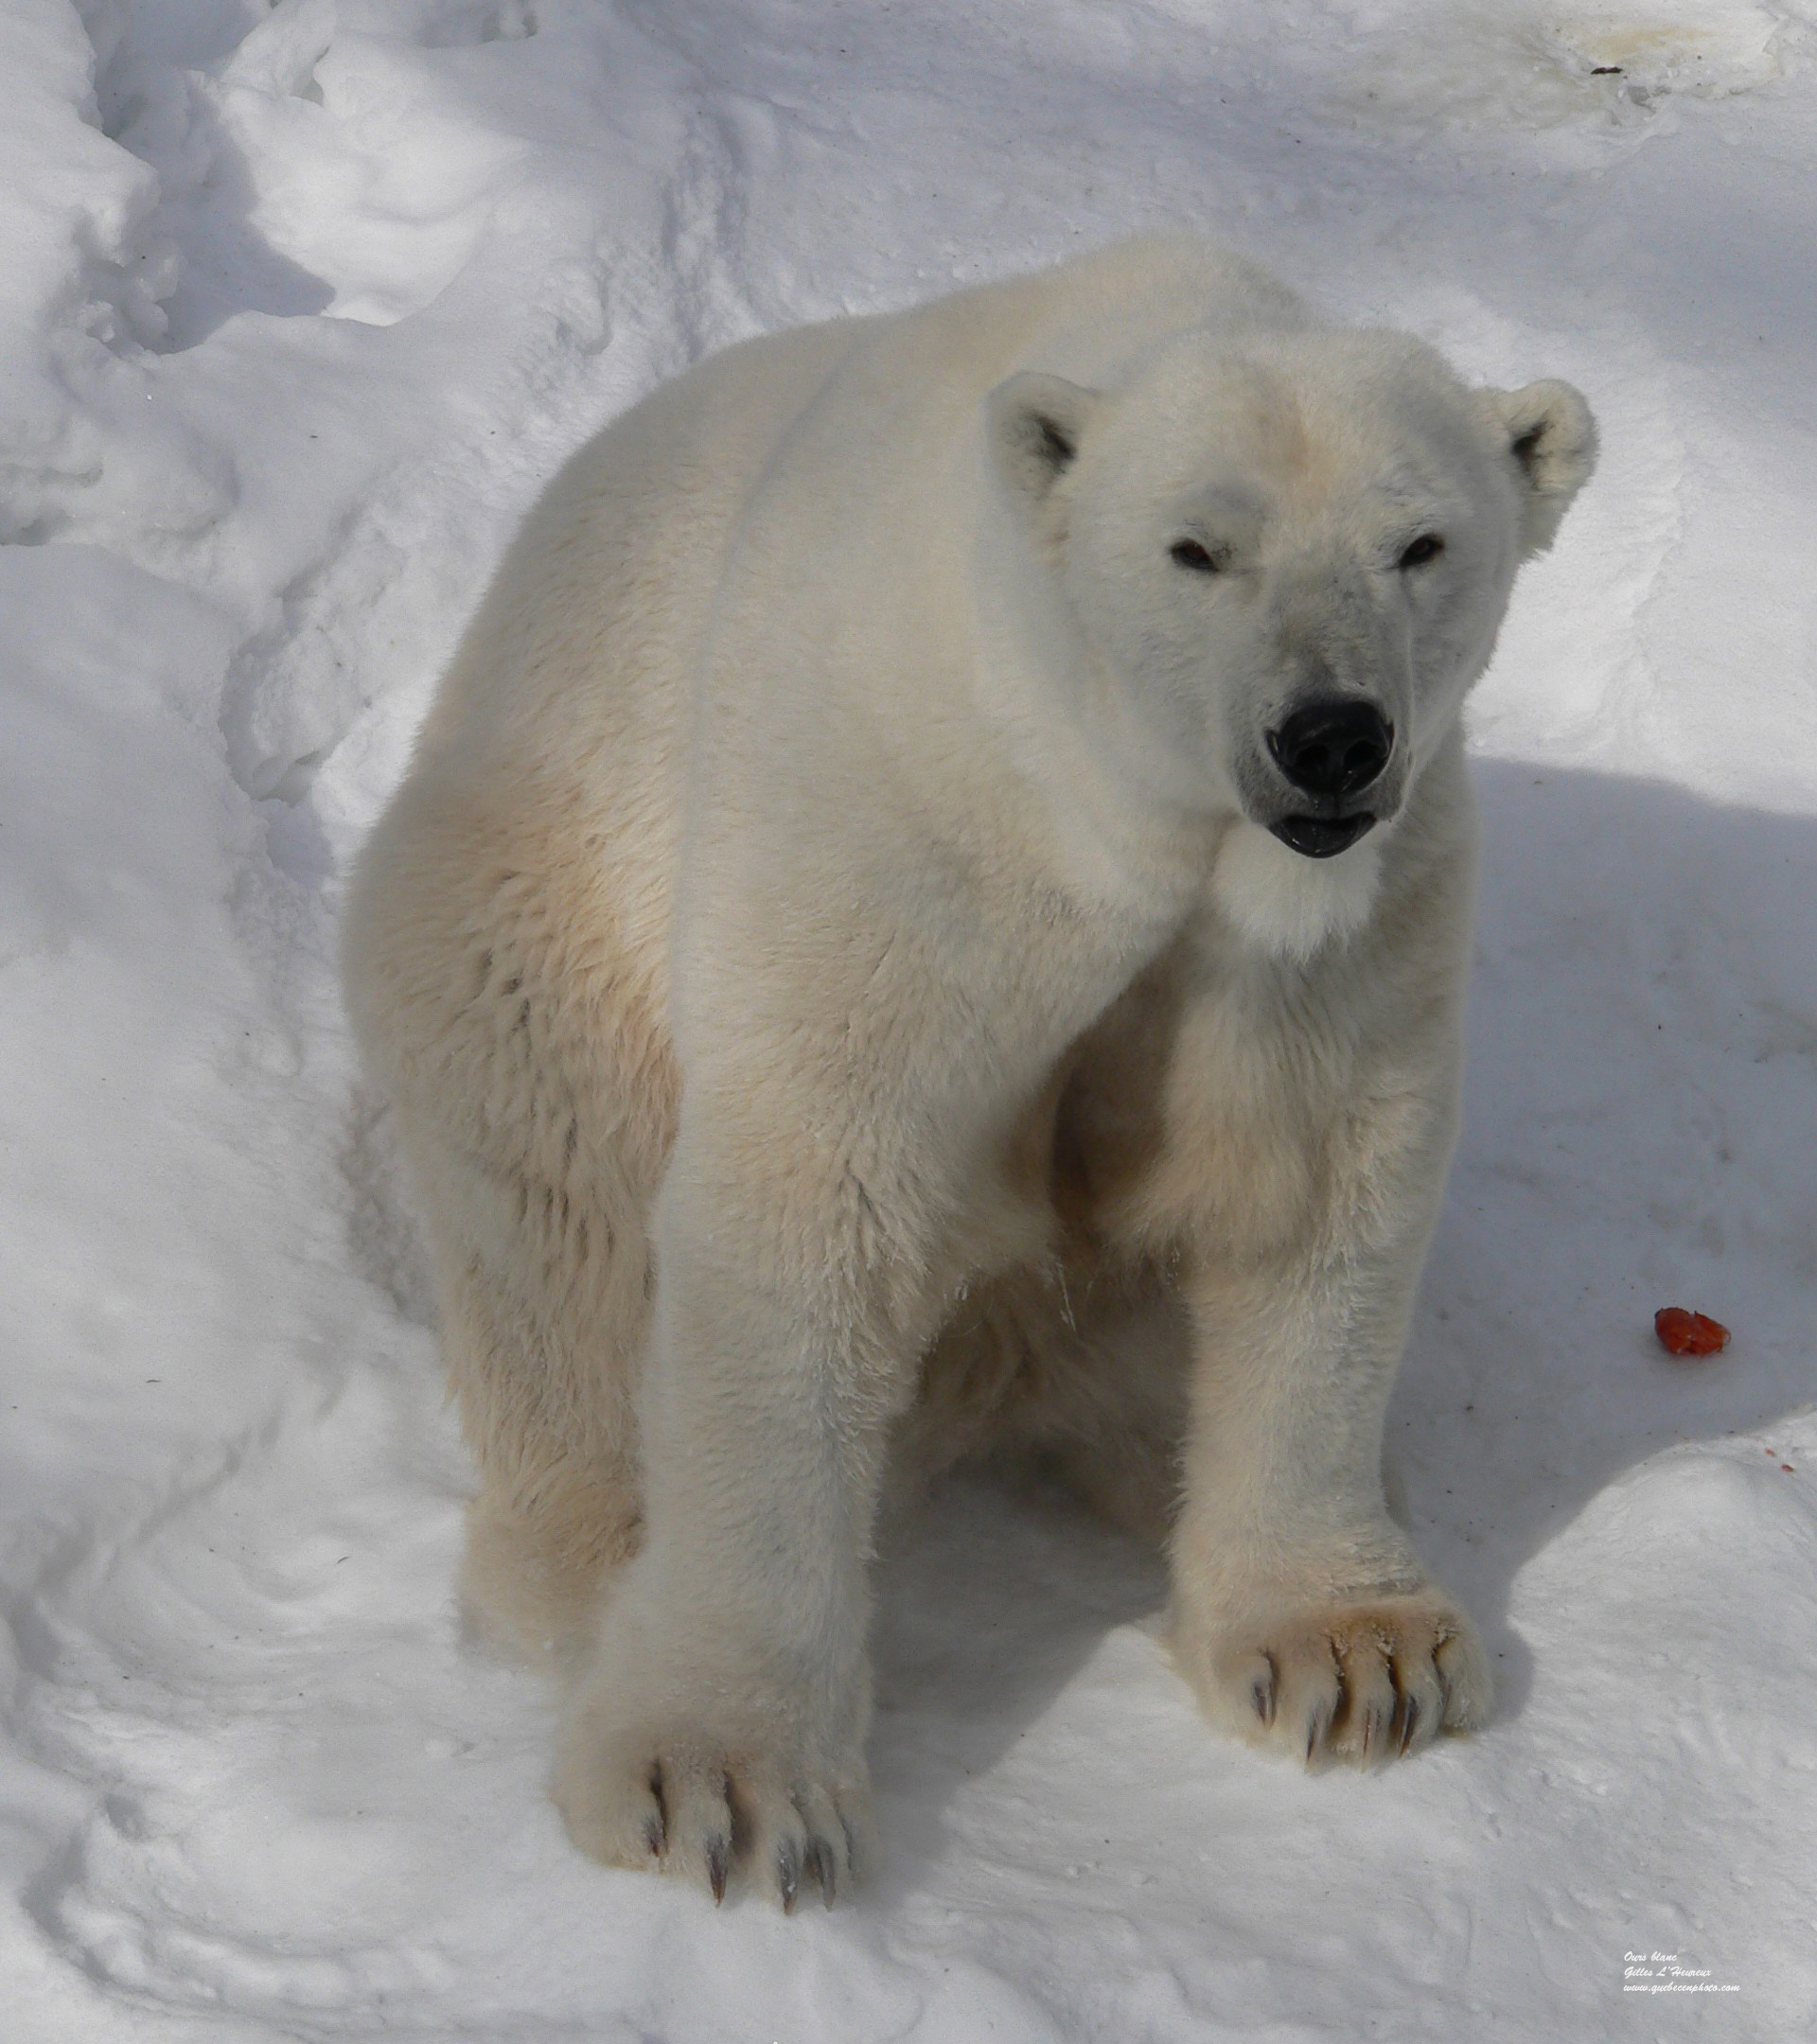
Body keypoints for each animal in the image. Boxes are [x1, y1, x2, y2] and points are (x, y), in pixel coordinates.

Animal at [339, 235, 1585, 1896]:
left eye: (1423, 544)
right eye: (1198, 550)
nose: (1330, 737)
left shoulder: (1345, 917)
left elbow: (1312, 1191)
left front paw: (1356, 1654)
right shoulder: (915, 831)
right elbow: (810, 1205)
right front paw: (715, 1784)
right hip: (523, 892)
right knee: (553, 1185)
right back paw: (586, 1560)